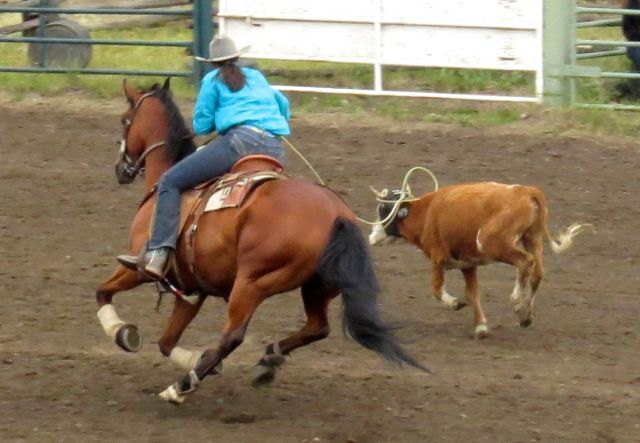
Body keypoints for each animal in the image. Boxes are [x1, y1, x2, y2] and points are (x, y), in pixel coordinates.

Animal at [94, 78, 424, 404]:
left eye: (125, 120)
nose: (121, 169)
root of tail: (334, 214)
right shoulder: (191, 290)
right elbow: (166, 341)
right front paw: (194, 358)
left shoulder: (139, 268)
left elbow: (103, 292)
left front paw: (122, 332)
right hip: (318, 285)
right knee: (318, 327)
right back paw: (267, 359)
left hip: (252, 283)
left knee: (233, 335)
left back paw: (182, 386)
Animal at [368, 182, 592, 338]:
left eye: (383, 210)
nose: (371, 236)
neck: (426, 212)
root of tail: (527, 191)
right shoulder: (468, 264)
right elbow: (472, 293)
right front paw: (481, 326)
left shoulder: (437, 258)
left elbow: (437, 289)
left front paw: (455, 303)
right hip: (533, 237)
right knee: (537, 272)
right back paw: (525, 313)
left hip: (491, 241)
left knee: (525, 262)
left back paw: (517, 302)